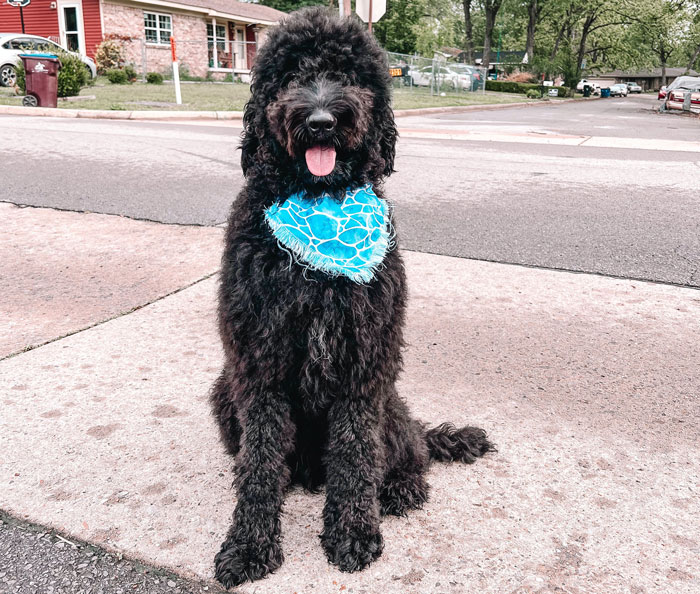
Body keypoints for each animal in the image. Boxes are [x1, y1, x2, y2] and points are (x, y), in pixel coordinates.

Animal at [211, 6, 494, 584]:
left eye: (348, 75)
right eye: (290, 76)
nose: (321, 120)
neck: (322, 206)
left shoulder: (365, 365)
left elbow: (357, 456)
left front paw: (353, 532)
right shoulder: (259, 364)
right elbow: (259, 464)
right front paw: (248, 545)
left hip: (390, 404)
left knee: (411, 452)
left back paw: (400, 487)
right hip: (225, 394)